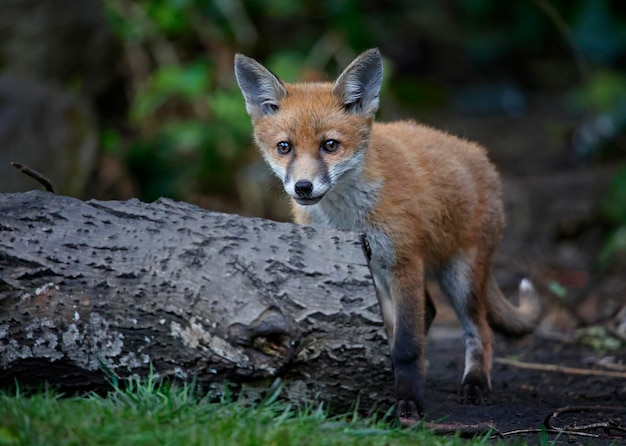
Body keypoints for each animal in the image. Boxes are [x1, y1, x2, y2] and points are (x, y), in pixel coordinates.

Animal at [232, 48, 540, 426]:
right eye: (285, 147)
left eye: (330, 145)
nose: (303, 187)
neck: (345, 217)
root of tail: (481, 156)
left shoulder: (403, 260)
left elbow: (408, 345)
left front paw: (408, 403)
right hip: (388, 273)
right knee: (430, 311)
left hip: (460, 278)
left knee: (479, 330)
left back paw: (475, 383)